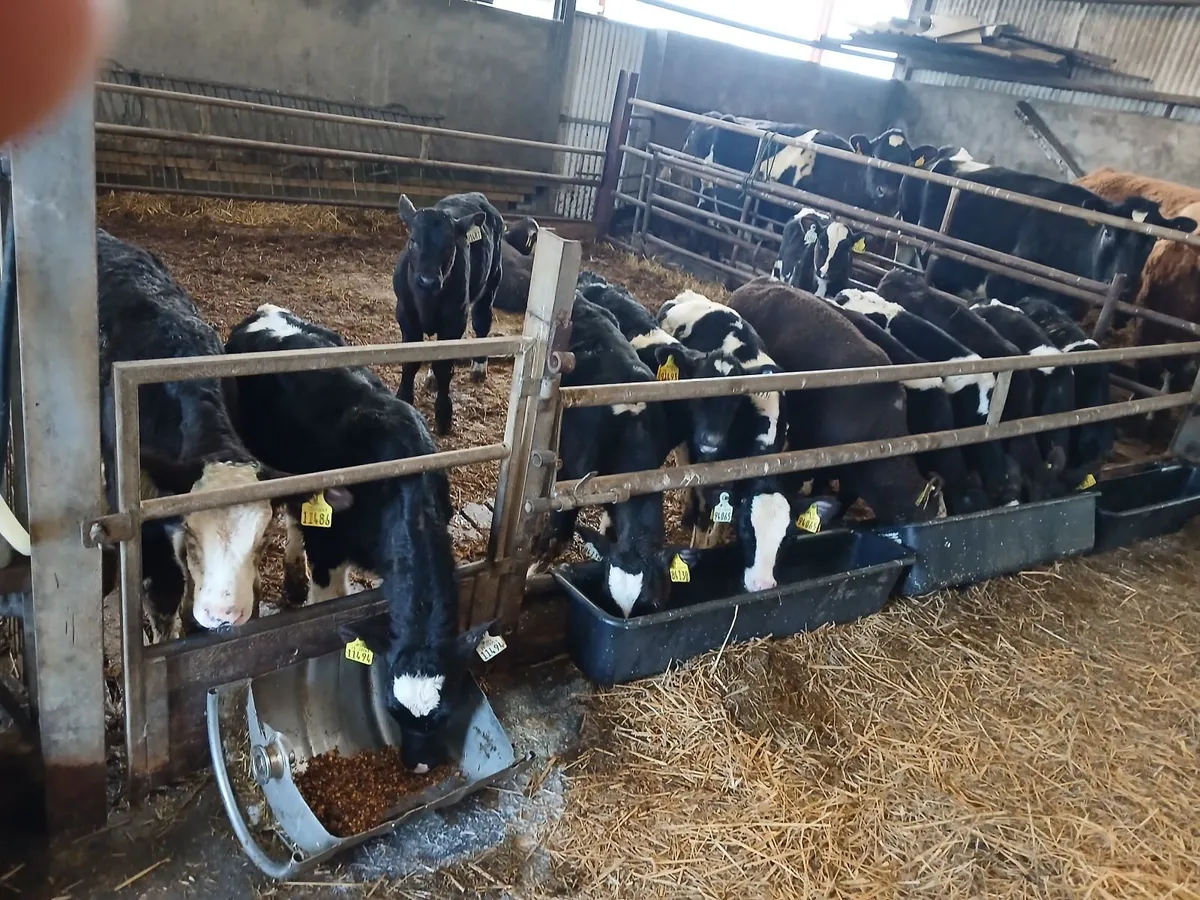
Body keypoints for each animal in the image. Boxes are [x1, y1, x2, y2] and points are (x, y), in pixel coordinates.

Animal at [393, 192, 505, 435]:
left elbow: (445, 367)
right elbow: (410, 361)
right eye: (413, 240)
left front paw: (444, 415)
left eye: (449, 245)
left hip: (492, 280)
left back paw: (479, 367)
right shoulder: (406, 314)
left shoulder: (455, 319)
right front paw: (404, 398)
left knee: (482, 321)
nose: (427, 281)